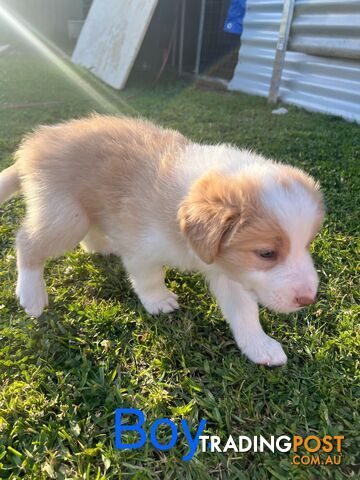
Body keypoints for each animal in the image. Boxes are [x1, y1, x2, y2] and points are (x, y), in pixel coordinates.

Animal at [0, 115, 324, 364]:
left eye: (306, 245)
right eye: (267, 253)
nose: (308, 300)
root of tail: (40, 138)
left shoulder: (230, 268)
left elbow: (245, 311)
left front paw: (260, 346)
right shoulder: (141, 248)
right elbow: (149, 278)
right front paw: (158, 301)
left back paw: (100, 247)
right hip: (66, 216)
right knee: (26, 241)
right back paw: (31, 294)